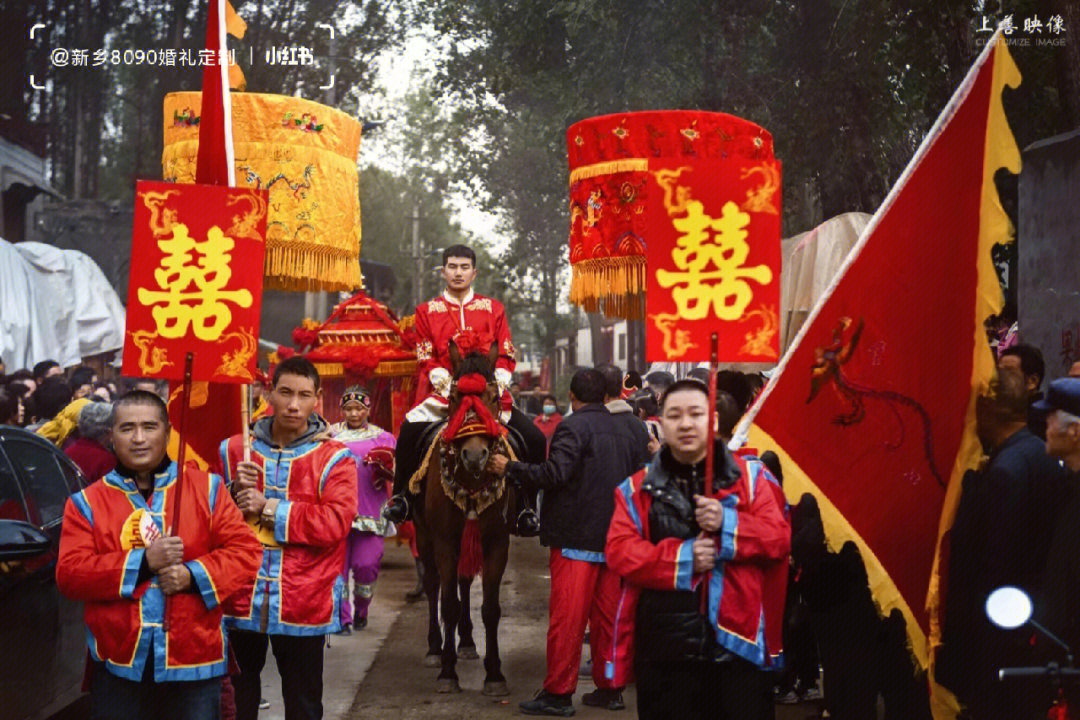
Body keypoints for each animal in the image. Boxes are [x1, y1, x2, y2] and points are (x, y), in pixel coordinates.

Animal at [412, 343, 514, 699]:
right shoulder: (443, 540)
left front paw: (494, 674)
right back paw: (433, 648)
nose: (473, 455)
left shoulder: (497, 541)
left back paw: (467, 642)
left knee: (465, 582)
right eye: (454, 396)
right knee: (432, 585)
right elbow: (448, 604)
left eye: (494, 396)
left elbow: (491, 609)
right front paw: (447, 671)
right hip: (423, 534)